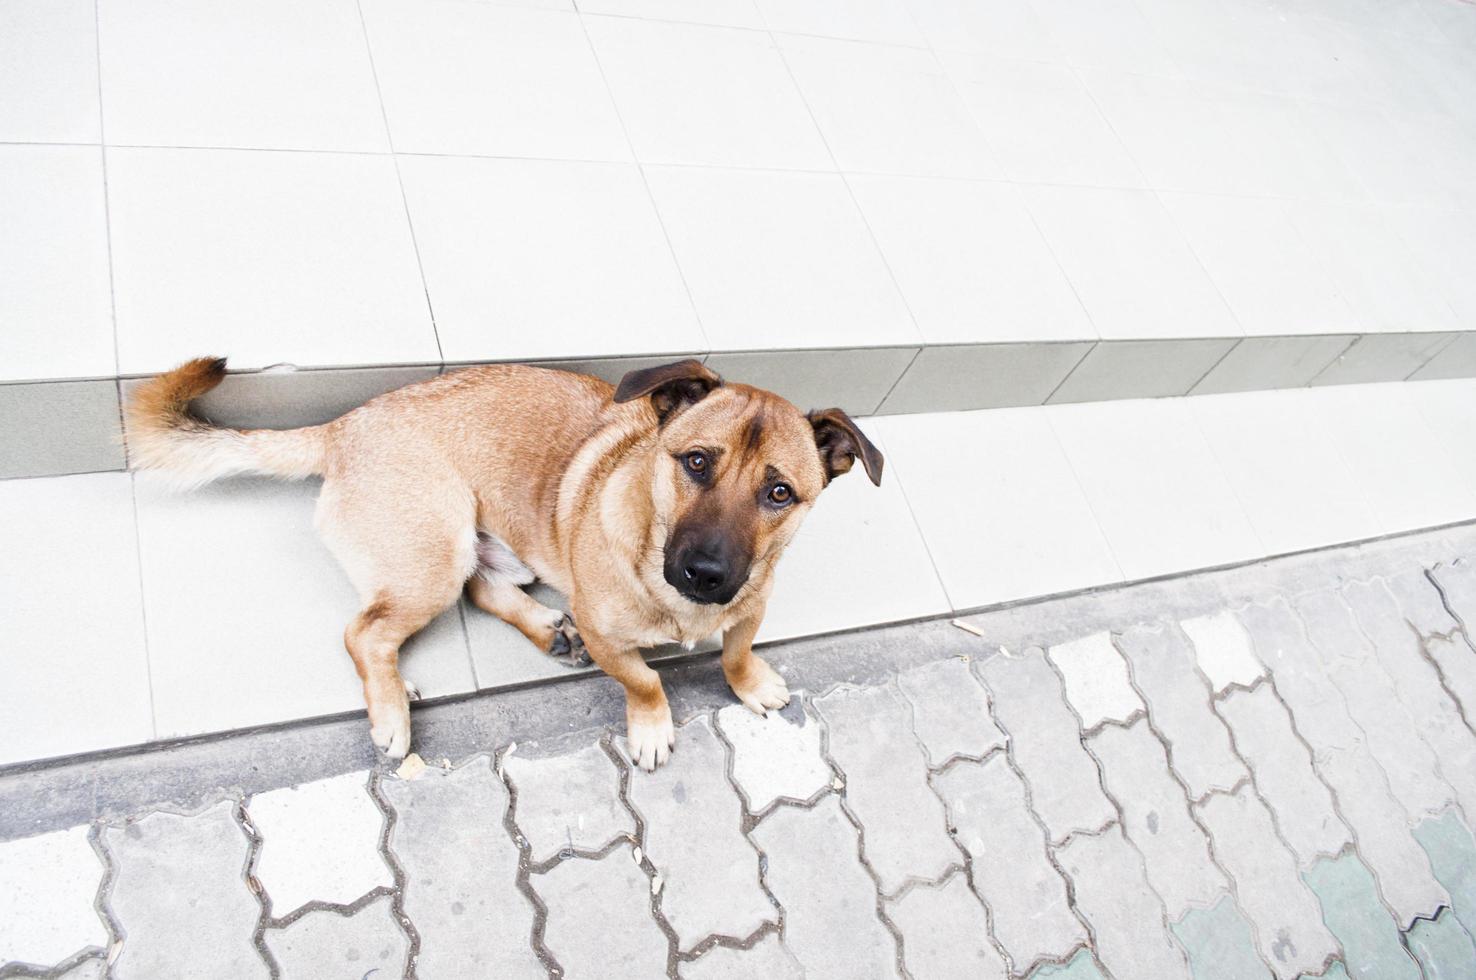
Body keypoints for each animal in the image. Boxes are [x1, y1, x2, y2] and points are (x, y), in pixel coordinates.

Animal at [126, 355, 873, 767]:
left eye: (780, 493)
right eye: (695, 462)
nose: (707, 575)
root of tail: (341, 427)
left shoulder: (752, 604)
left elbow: (736, 650)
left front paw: (750, 683)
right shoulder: (614, 642)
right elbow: (645, 683)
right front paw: (653, 726)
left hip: (489, 556)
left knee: (480, 593)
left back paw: (543, 629)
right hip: (434, 552)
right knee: (364, 632)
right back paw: (391, 711)